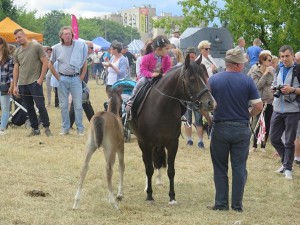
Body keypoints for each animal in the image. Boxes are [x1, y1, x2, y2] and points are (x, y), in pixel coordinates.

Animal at [129, 54, 216, 204]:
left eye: (205, 77)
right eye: (192, 79)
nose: (210, 103)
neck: (161, 107)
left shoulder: (172, 143)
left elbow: (171, 170)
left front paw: (172, 197)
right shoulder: (147, 143)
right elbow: (149, 169)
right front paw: (150, 195)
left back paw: (159, 180)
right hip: (143, 143)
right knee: (147, 163)